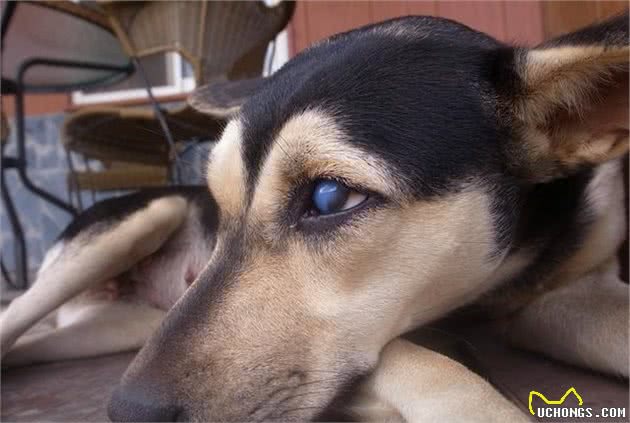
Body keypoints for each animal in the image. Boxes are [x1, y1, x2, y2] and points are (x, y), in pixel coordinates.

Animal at [2, 12, 628, 420]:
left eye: (330, 198)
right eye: (219, 204)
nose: (129, 412)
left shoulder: (568, 292)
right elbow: (419, 361)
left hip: (115, 327)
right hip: (139, 222)